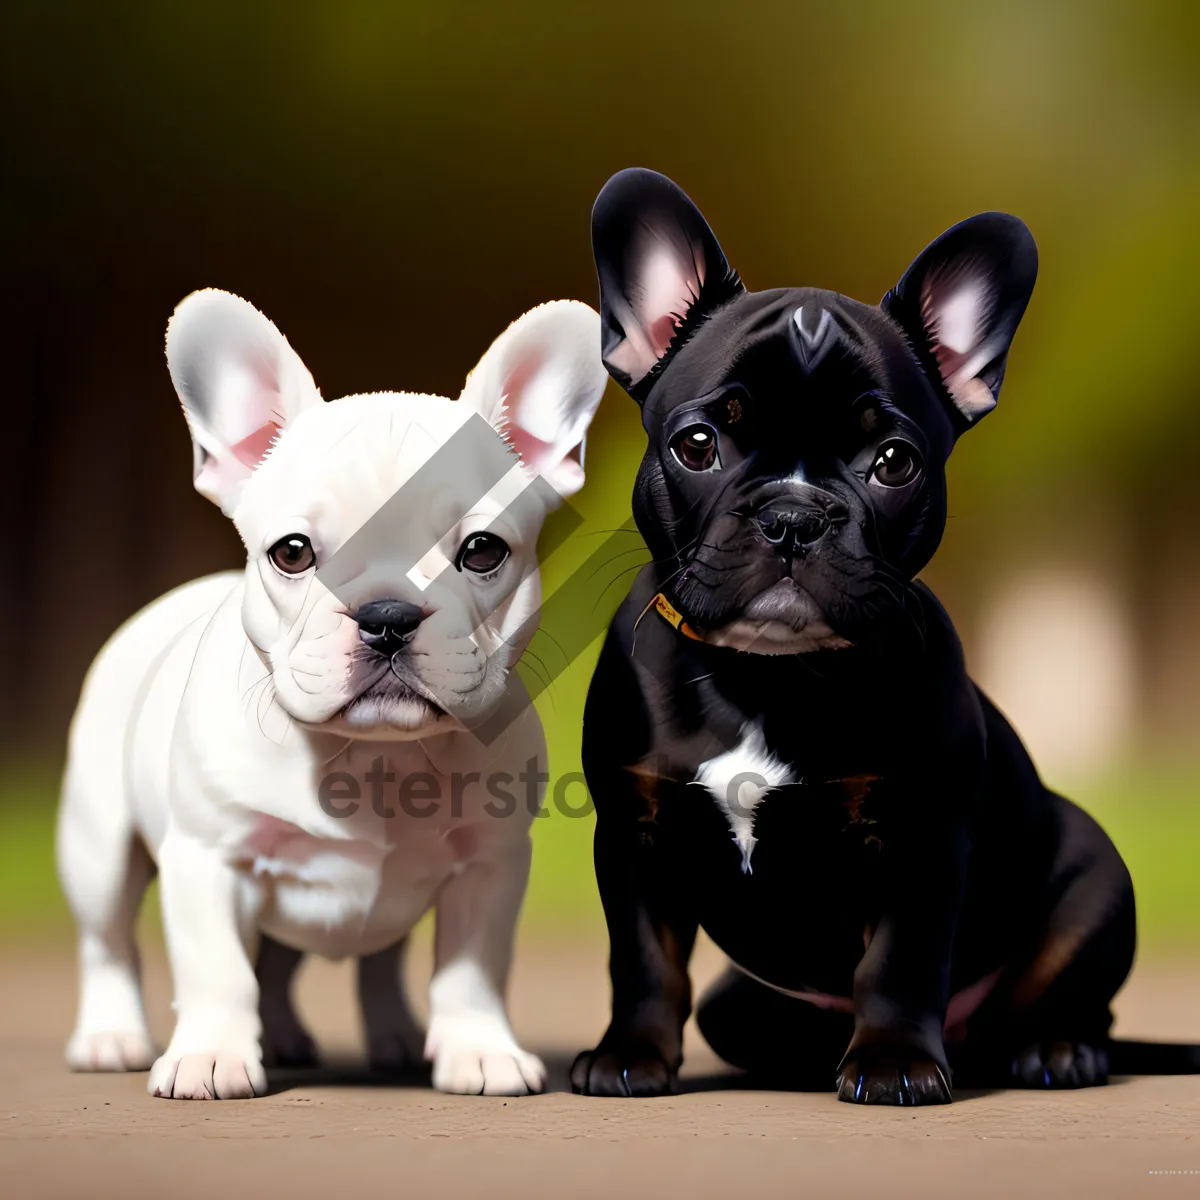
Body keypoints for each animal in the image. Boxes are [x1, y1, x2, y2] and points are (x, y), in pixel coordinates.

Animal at [56, 288, 604, 1099]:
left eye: (483, 551)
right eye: (293, 553)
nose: (387, 615)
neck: (371, 758)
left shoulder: (489, 865)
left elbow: (471, 969)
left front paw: (480, 1052)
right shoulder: (210, 859)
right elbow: (217, 969)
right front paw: (211, 1056)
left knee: (340, 963)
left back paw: (377, 1038)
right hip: (97, 848)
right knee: (108, 942)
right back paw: (111, 1036)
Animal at [571, 169, 1152, 1104]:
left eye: (893, 463)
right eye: (697, 444)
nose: (794, 515)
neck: (764, 678)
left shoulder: (921, 836)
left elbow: (901, 962)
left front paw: (894, 1062)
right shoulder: (634, 832)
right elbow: (643, 960)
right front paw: (630, 1055)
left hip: (1097, 890)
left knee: (1069, 1002)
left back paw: (1057, 1050)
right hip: (740, 1004)